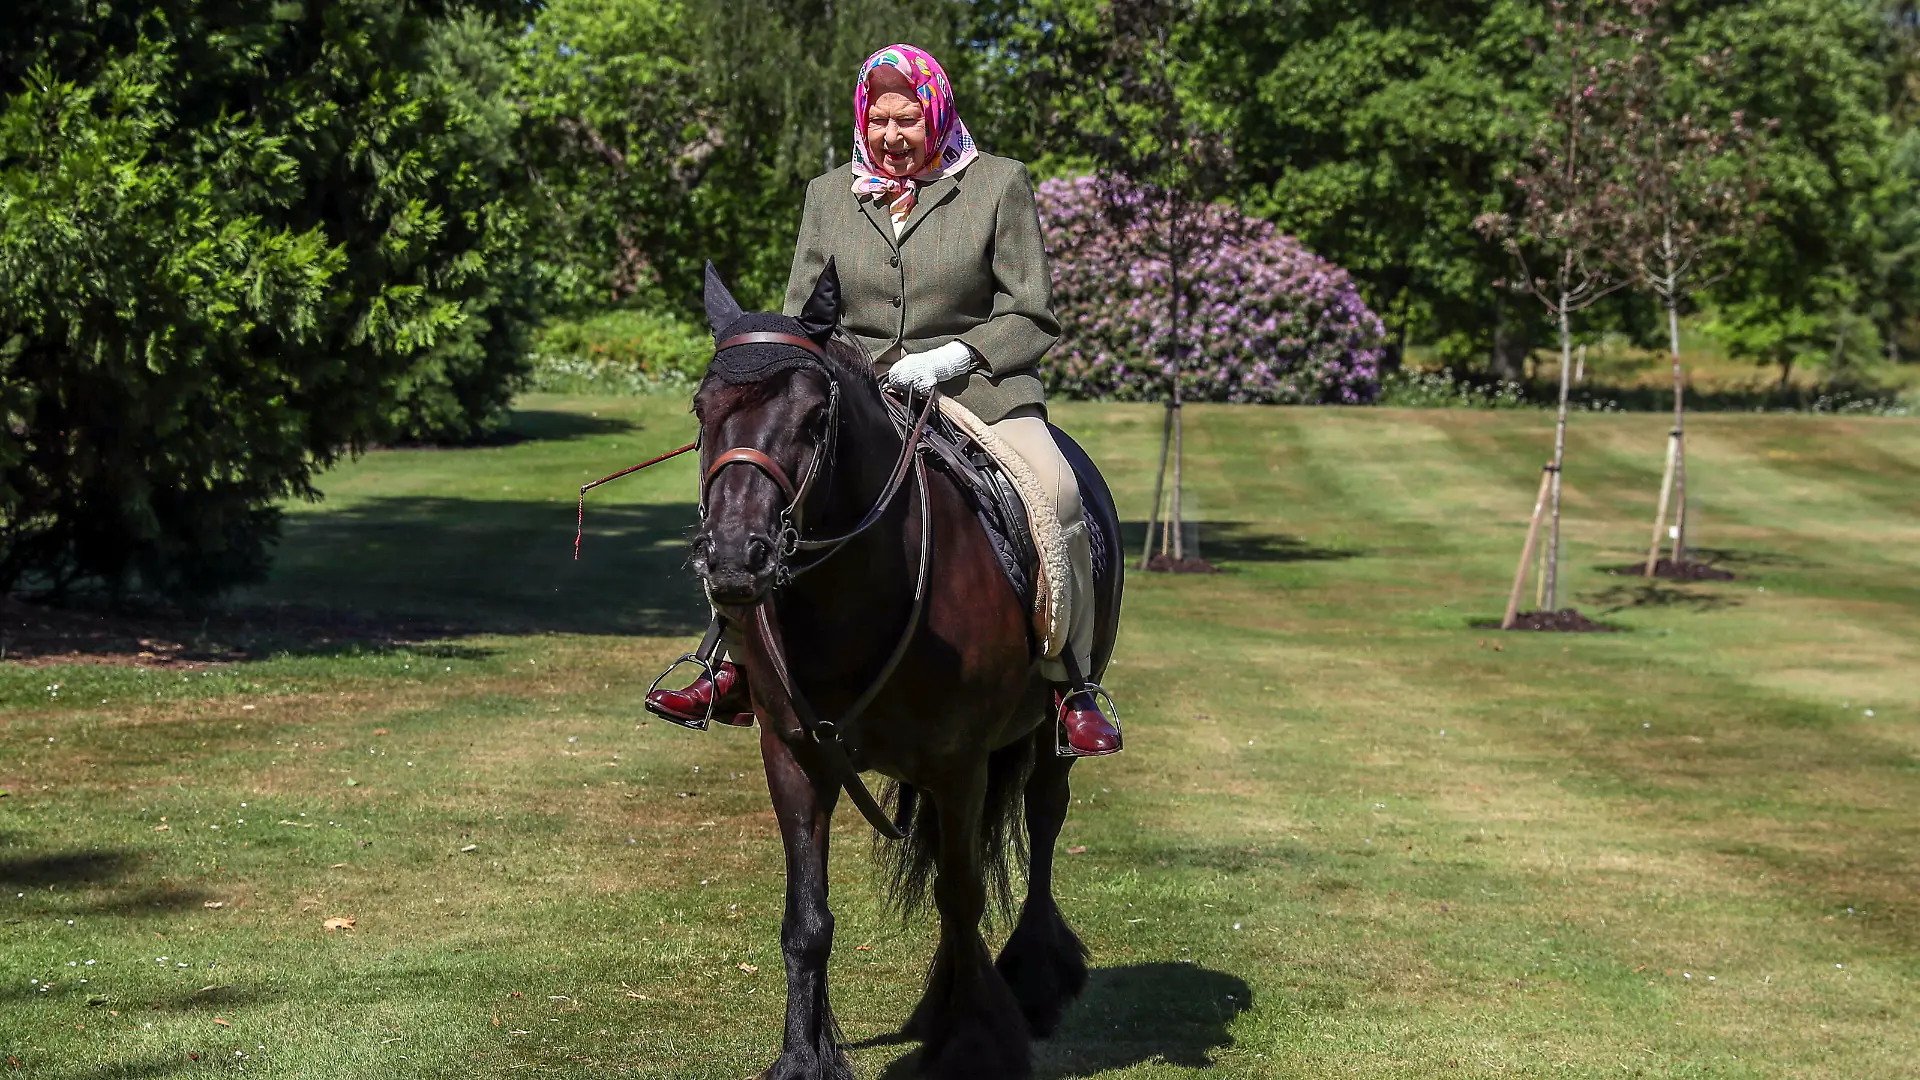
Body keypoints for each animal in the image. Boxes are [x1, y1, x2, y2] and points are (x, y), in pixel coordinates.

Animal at [686, 261, 1124, 1080]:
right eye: (703, 409)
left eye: (814, 417)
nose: (733, 558)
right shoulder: (795, 756)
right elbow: (807, 918)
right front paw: (804, 1056)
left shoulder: (959, 764)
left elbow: (962, 896)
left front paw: (972, 1042)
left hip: (1049, 737)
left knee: (1044, 824)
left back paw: (1034, 980)